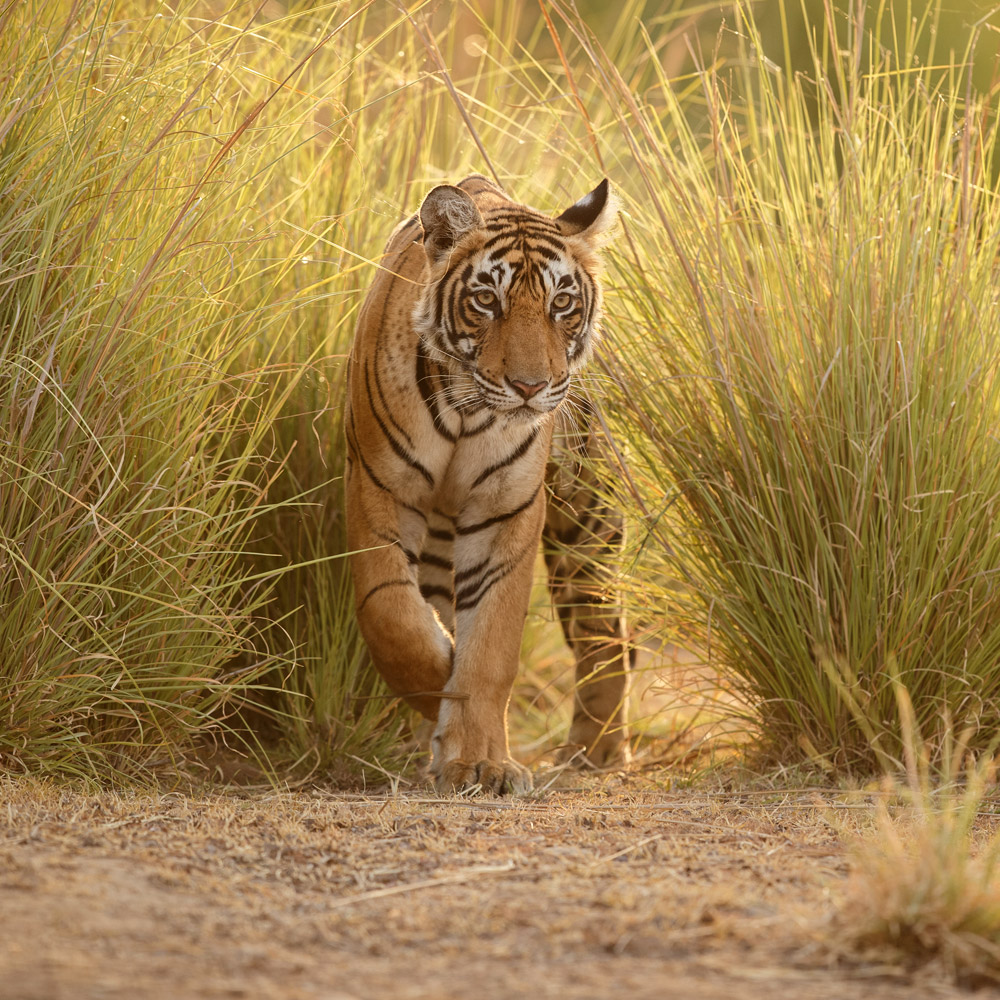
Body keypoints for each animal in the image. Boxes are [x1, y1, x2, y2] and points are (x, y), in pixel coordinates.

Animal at [344, 173, 629, 794]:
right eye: (485, 301)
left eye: (561, 303)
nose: (530, 386)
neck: (466, 412)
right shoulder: (381, 489)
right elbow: (394, 618)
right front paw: (440, 691)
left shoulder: (506, 510)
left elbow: (491, 644)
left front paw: (479, 762)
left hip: (588, 523)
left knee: (606, 634)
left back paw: (593, 751)